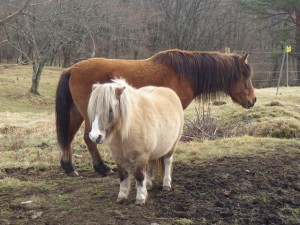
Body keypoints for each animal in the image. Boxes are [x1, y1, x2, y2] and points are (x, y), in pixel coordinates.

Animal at [54, 48, 255, 176]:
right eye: (246, 76)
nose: (253, 100)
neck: (183, 74)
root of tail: (72, 68)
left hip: (76, 114)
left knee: (68, 138)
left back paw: (69, 167)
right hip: (91, 115)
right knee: (88, 138)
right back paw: (101, 168)